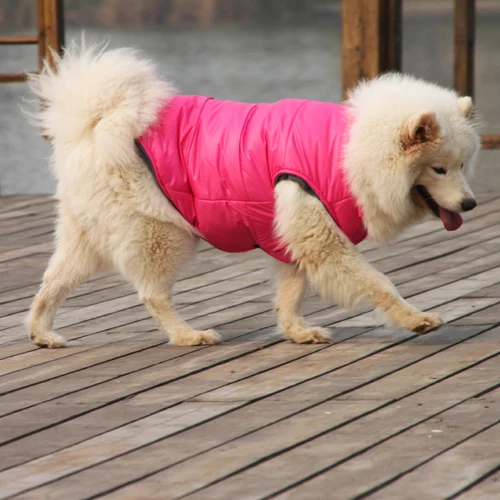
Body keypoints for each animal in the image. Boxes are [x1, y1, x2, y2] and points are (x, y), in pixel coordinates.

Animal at [26, 44, 480, 348]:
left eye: (462, 165)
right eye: (439, 169)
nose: (470, 204)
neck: (349, 153)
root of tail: (95, 123)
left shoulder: (294, 236)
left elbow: (290, 293)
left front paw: (297, 331)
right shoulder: (322, 237)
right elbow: (379, 283)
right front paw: (415, 318)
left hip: (85, 237)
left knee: (51, 282)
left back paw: (42, 333)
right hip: (161, 234)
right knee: (152, 294)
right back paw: (189, 335)